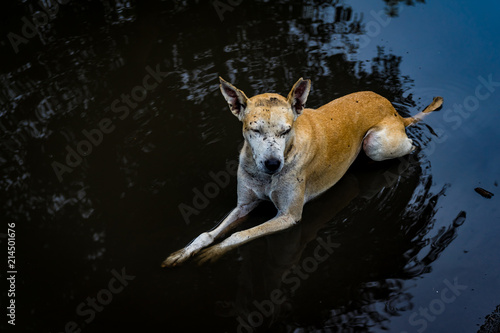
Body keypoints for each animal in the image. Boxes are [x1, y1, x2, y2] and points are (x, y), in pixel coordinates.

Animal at [162, 76, 444, 266]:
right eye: (255, 129)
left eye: (286, 130)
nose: (273, 164)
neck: (266, 176)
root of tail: (396, 113)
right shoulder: (244, 204)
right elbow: (207, 233)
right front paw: (183, 252)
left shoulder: (288, 216)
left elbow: (241, 234)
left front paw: (214, 252)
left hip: (375, 144)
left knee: (410, 145)